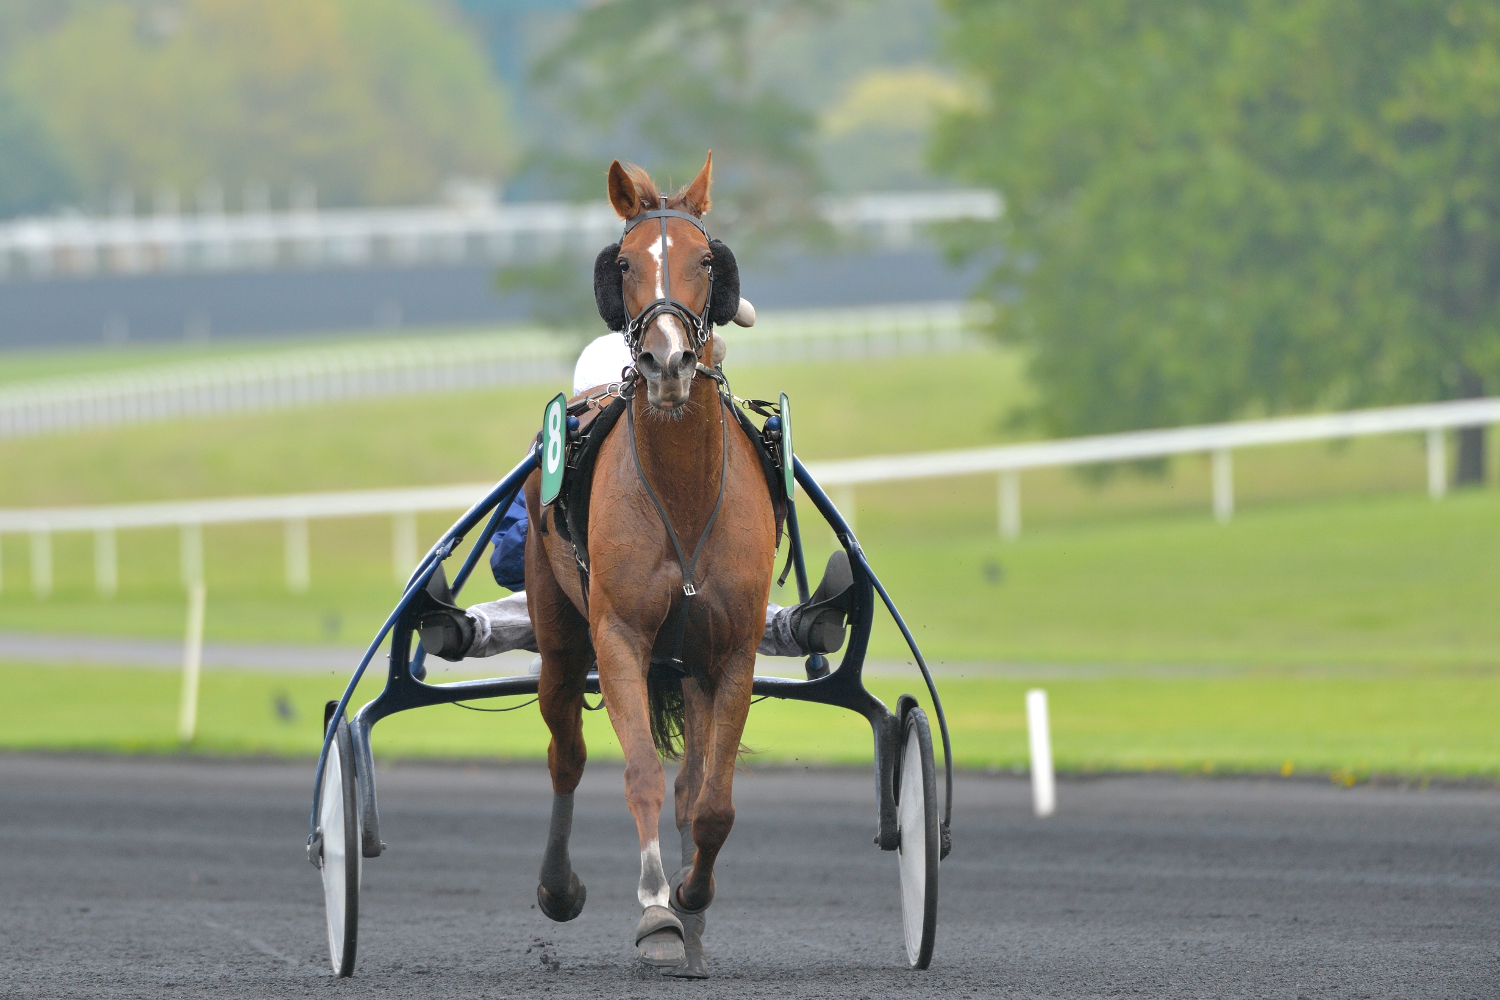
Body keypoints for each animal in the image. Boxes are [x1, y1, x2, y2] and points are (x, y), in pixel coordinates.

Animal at [522, 154, 780, 977]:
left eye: (706, 261)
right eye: (625, 263)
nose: (667, 362)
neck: (682, 495)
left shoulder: (731, 651)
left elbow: (712, 801)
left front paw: (693, 899)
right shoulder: (621, 638)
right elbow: (638, 775)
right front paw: (657, 913)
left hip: (692, 664)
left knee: (694, 779)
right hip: (560, 636)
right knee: (565, 754)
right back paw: (559, 885)